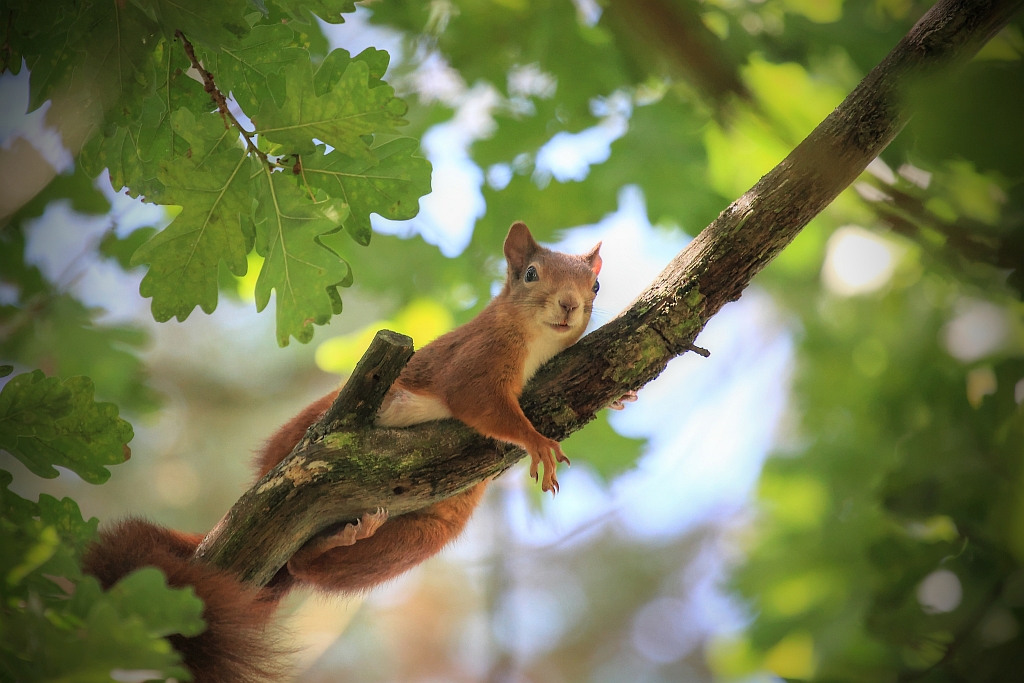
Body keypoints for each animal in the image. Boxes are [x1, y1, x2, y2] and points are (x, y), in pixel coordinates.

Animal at [83, 223, 606, 679]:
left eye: (596, 286)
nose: (569, 304)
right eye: (531, 274)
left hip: (422, 535)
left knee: (306, 566)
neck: (535, 342)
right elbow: (480, 402)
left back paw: (344, 538)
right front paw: (538, 442)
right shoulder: (475, 360)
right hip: (308, 440)